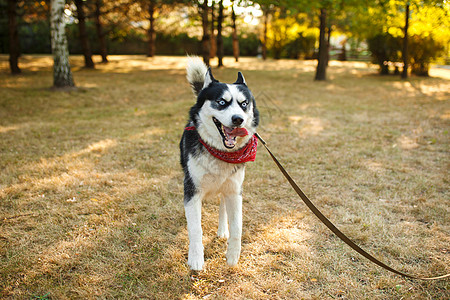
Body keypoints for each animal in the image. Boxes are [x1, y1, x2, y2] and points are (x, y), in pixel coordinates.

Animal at [178, 57, 256, 270]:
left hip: (227, 186)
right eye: (221, 102)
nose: (238, 119)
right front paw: (196, 259)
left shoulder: (235, 191)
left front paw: (233, 255)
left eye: (244, 104)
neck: (220, 152)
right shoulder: (192, 190)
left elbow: (237, 226)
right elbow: (195, 229)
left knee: (223, 205)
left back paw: (222, 230)